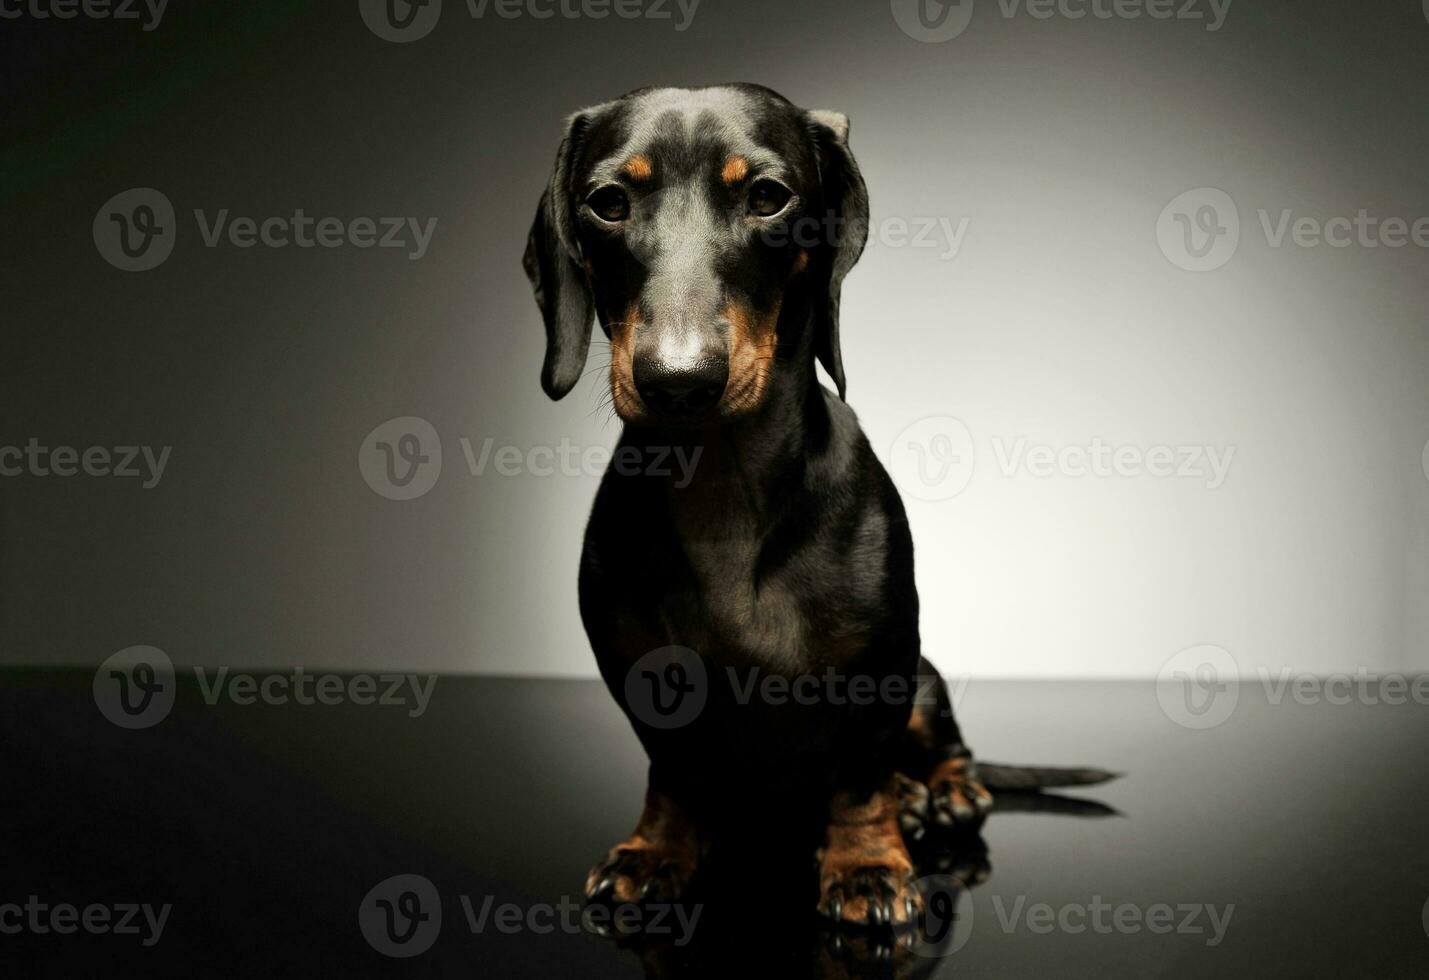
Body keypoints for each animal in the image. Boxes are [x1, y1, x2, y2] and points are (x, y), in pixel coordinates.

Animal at [525, 82, 1114, 931]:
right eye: (608, 203)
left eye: (768, 197)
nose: (678, 380)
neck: (722, 485)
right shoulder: (638, 675)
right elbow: (671, 773)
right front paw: (654, 850)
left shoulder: (879, 670)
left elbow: (860, 777)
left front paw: (866, 864)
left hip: (925, 682)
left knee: (944, 751)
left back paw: (939, 795)